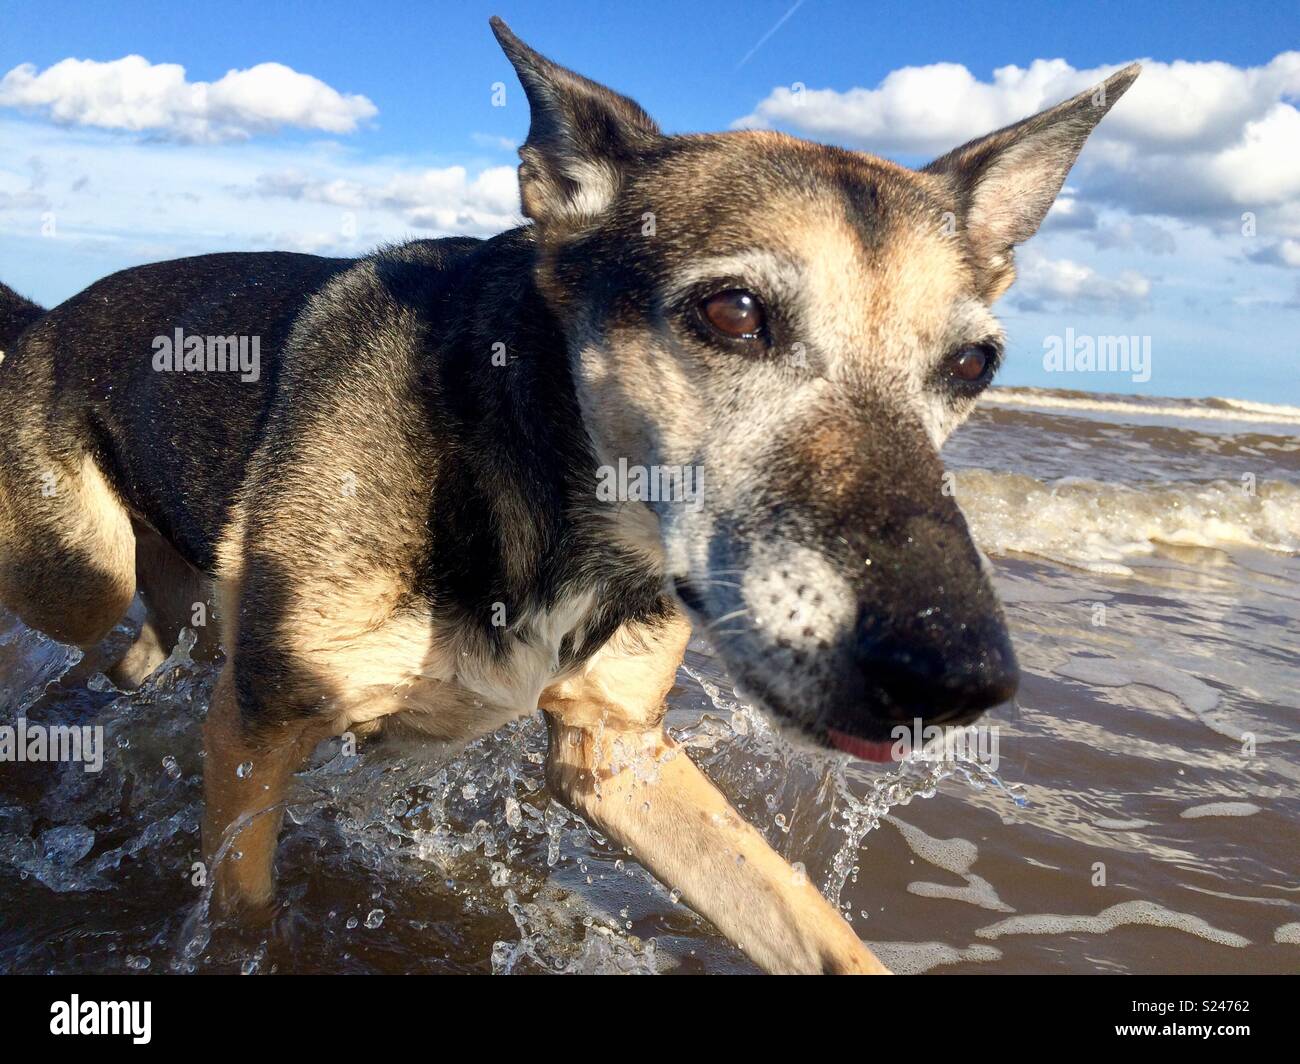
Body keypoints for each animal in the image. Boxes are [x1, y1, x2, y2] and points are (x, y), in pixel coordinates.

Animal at [0, 16, 1138, 972]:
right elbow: (246, 916)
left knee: (137, 653)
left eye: (974, 365)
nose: (957, 679)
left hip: (171, 600)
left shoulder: (613, 749)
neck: (542, 492)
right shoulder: (261, 727)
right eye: (733, 314)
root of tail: (47, 317)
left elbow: (810, 924)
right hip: (82, 577)